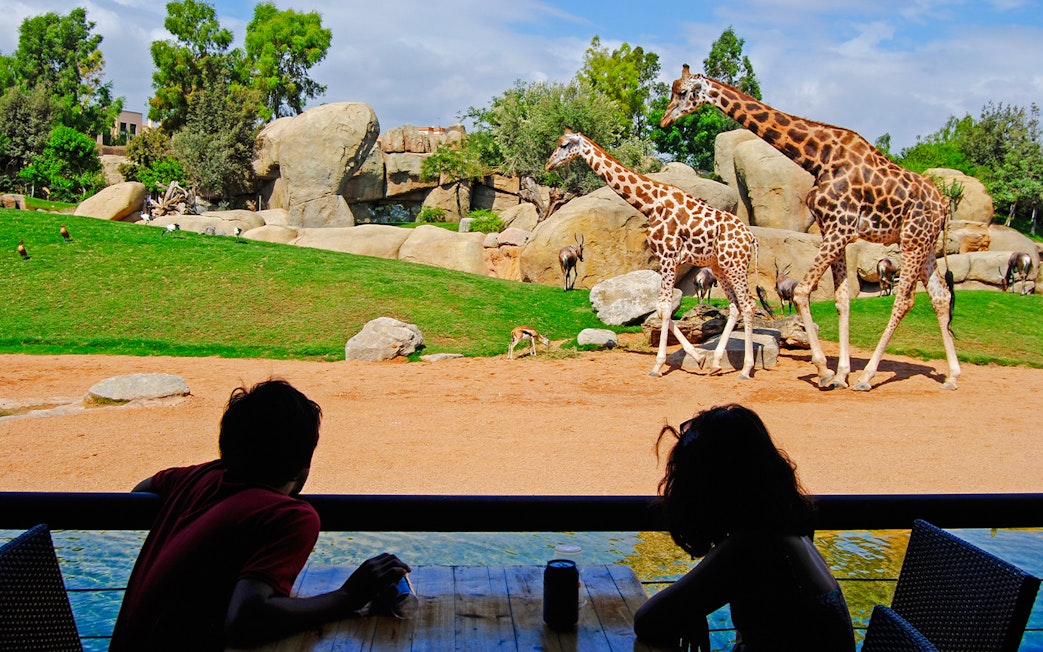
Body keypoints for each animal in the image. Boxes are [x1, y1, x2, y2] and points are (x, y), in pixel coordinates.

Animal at [546, 128, 759, 379]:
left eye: (564, 145)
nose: (549, 165)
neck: (651, 203)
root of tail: (751, 238)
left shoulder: (668, 255)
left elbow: (665, 308)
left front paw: (657, 366)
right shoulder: (668, 259)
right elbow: (660, 308)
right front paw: (699, 358)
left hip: (736, 264)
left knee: (748, 304)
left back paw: (746, 369)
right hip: (720, 265)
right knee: (735, 306)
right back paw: (716, 363)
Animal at [661, 65, 961, 391]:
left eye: (682, 92)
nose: (664, 120)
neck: (819, 157)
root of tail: (943, 206)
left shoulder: (839, 227)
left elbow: (804, 291)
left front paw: (824, 370)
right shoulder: (836, 230)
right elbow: (842, 300)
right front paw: (841, 373)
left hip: (912, 240)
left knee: (904, 300)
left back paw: (867, 377)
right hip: (926, 244)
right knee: (941, 296)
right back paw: (952, 375)